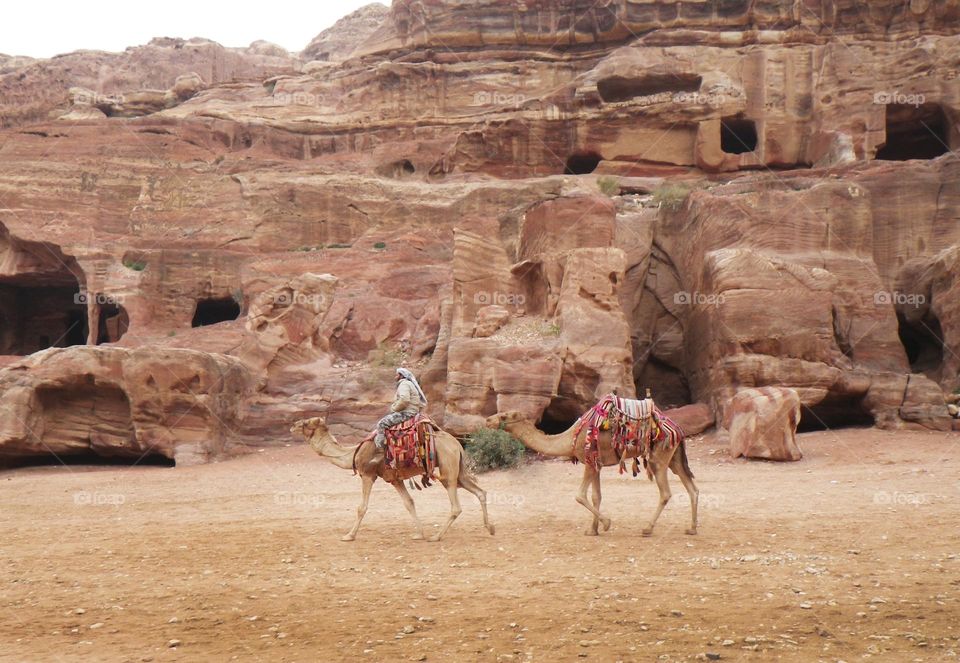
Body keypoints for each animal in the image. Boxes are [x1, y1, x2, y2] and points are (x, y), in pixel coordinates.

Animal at [290, 417, 495, 542]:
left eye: (306, 423)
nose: (292, 425)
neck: (353, 453)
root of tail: (457, 445)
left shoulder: (368, 474)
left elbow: (362, 507)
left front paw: (349, 535)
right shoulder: (395, 479)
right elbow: (409, 503)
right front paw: (418, 534)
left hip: (447, 467)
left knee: (456, 506)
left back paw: (436, 536)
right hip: (459, 471)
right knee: (480, 492)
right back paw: (490, 528)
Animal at [485, 410, 698, 537]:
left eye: (504, 416)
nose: (487, 420)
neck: (569, 438)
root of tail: (678, 429)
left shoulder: (588, 461)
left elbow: (580, 495)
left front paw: (606, 523)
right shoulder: (597, 464)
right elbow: (597, 496)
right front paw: (593, 529)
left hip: (658, 457)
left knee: (666, 493)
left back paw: (647, 528)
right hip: (675, 457)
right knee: (692, 489)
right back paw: (692, 528)